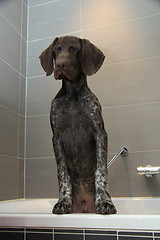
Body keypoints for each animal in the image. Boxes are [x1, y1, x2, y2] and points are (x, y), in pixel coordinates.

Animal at [38, 35, 116, 214]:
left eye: (74, 49)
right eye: (56, 50)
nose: (60, 65)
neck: (73, 96)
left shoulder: (100, 133)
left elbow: (101, 170)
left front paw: (105, 201)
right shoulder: (56, 137)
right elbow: (62, 173)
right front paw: (62, 201)